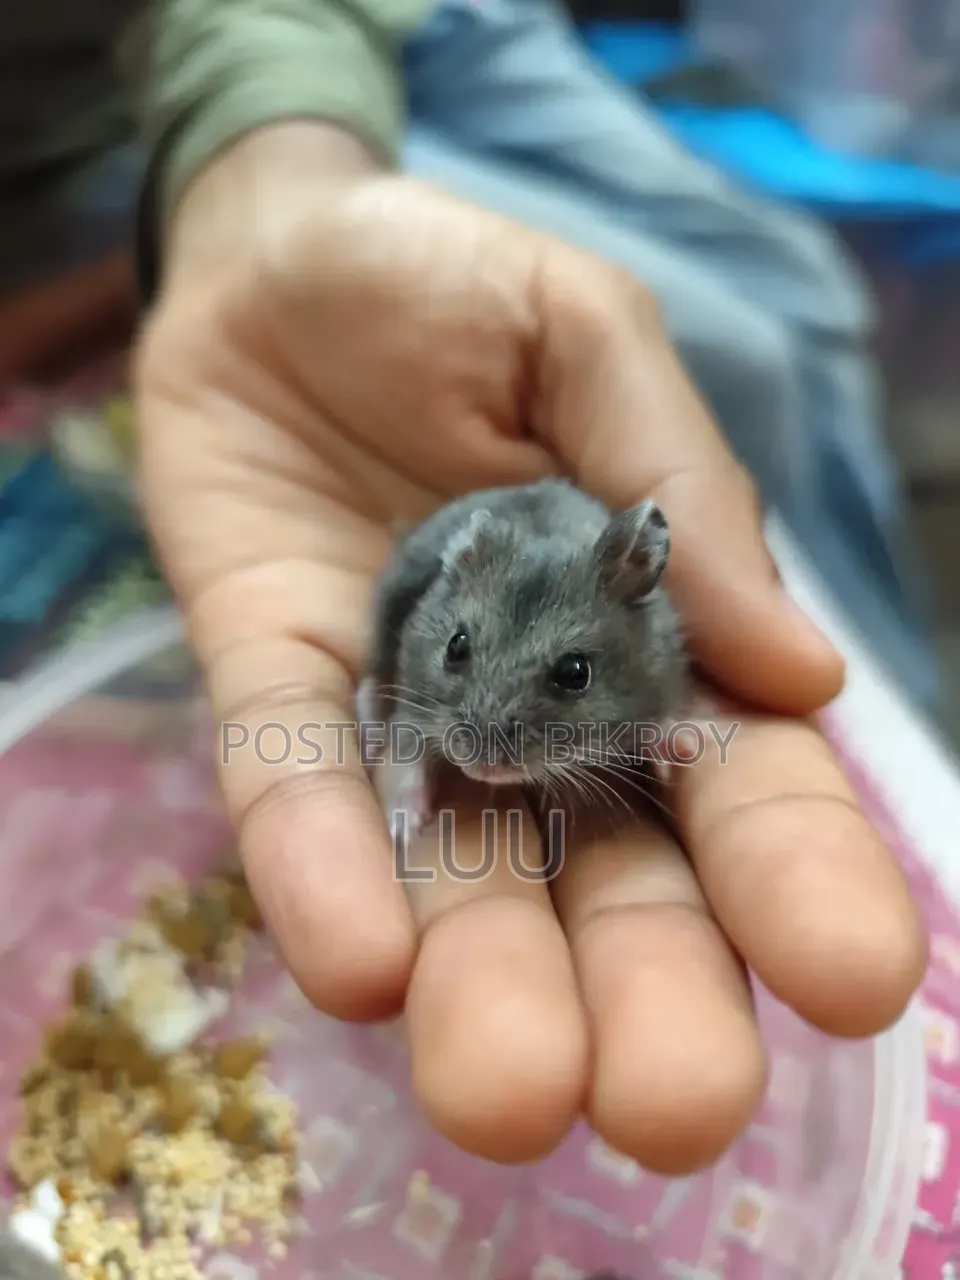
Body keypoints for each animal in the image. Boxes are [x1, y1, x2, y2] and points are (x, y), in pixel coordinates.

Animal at [358, 477, 687, 838]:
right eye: (455, 647)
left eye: (575, 673)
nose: (480, 768)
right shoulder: (414, 689)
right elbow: (408, 753)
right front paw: (401, 829)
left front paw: (679, 752)